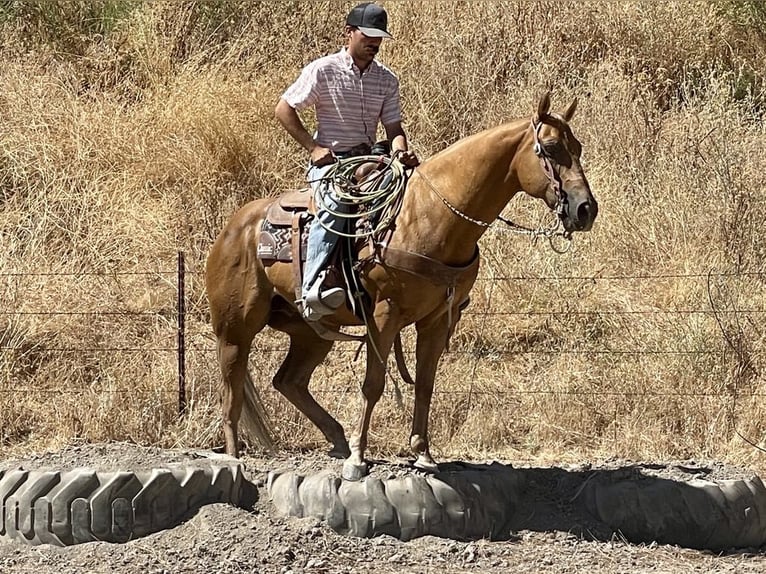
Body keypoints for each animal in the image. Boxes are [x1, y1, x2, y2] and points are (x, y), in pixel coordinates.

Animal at [206, 93, 600, 482]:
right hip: (235, 329)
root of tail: (235, 226)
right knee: (231, 390)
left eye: (578, 147)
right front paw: (358, 459)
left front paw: (422, 453)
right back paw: (235, 457)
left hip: (311, 332)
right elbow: (373, 384)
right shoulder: (384, 315)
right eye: (550, 148)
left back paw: (336, 438)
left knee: (289, 381)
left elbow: (425, 383)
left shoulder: (438, 320)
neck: (432, 215)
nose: (585, 209)